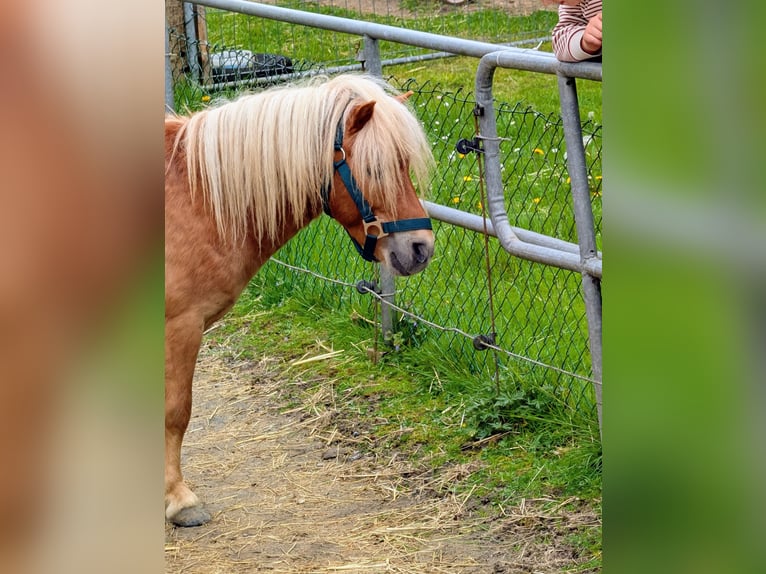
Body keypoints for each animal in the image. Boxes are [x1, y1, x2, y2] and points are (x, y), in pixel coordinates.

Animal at [165, 74, 436, 526]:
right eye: (375, 168)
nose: (422, 248)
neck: (195, 199)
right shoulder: (179, 327)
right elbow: (176, 411)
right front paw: (179, 500)